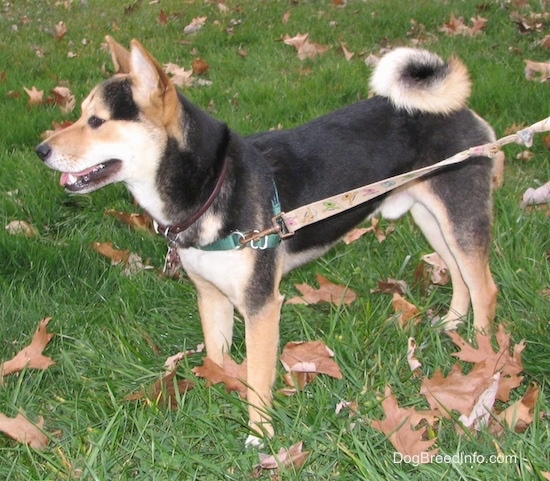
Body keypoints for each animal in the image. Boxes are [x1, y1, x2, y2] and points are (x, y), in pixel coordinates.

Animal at [35, 35, 500, 444]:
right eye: (79, 114)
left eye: (97, 121)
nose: (41, 150)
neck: (211, 186)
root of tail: (462, 110)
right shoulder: (211, 296)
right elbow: (216, 356)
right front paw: (215, 393)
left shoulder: (261, 306)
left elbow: (258, 378)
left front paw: (259, 436)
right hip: (431, 218)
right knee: (459, 275)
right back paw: (452, 326)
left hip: (459, 216)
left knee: (485, 287)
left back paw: (481, 355)